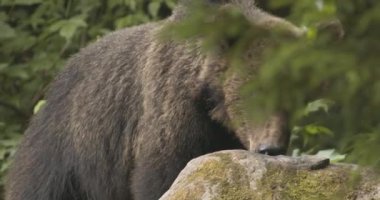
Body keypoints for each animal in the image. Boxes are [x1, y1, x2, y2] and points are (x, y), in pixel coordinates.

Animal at [5, 0, 308, 200]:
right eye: (255, 92)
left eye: (293, 98)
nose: (270, 147)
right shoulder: (171, 111)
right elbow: (160, 175)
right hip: (68, 151)